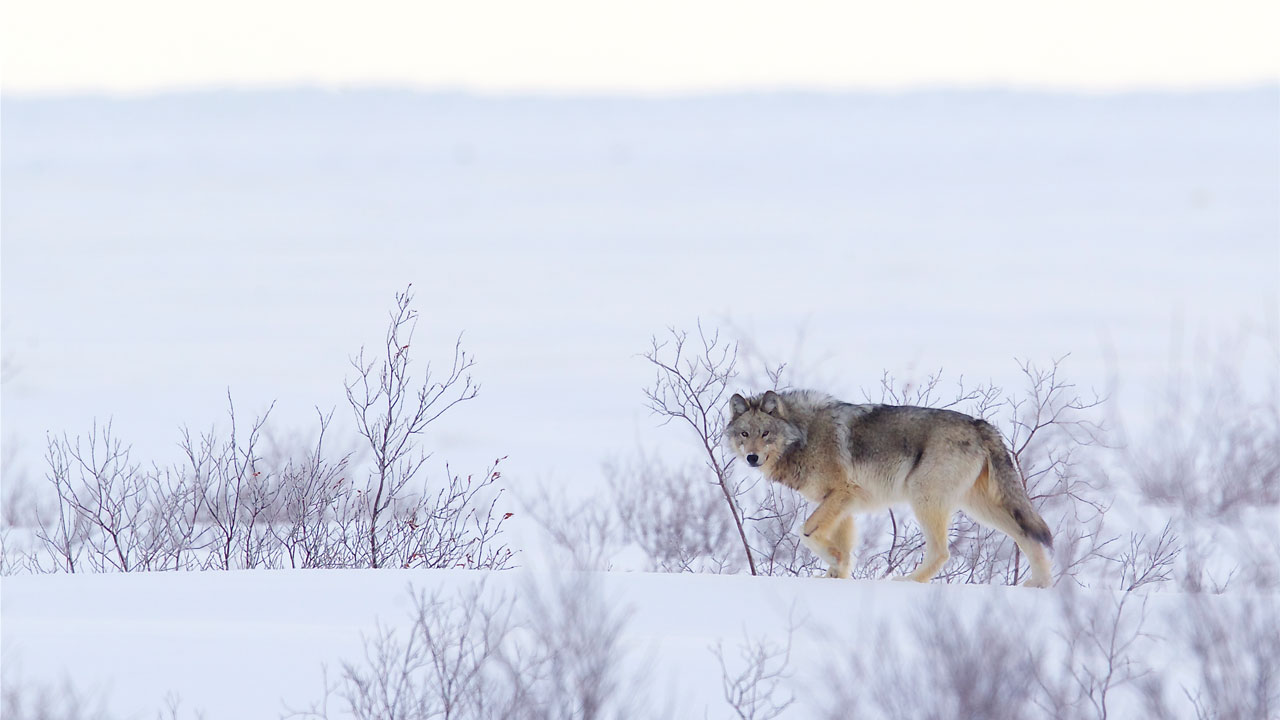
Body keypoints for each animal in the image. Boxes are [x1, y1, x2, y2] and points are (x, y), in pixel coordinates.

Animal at [727, 389, 1054, 586]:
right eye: (745, 434)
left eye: (765, 433)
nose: (752, 457)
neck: (803, 435)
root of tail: (980, 424)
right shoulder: (842, 504)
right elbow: (844, 547)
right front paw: (836, 574)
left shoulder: (842, 494)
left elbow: (807, 532)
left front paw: (834, 561)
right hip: (978, 508)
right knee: (1026, 535)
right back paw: (1039, 585)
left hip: (924, 497)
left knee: (942, 552)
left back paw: (907, 582)